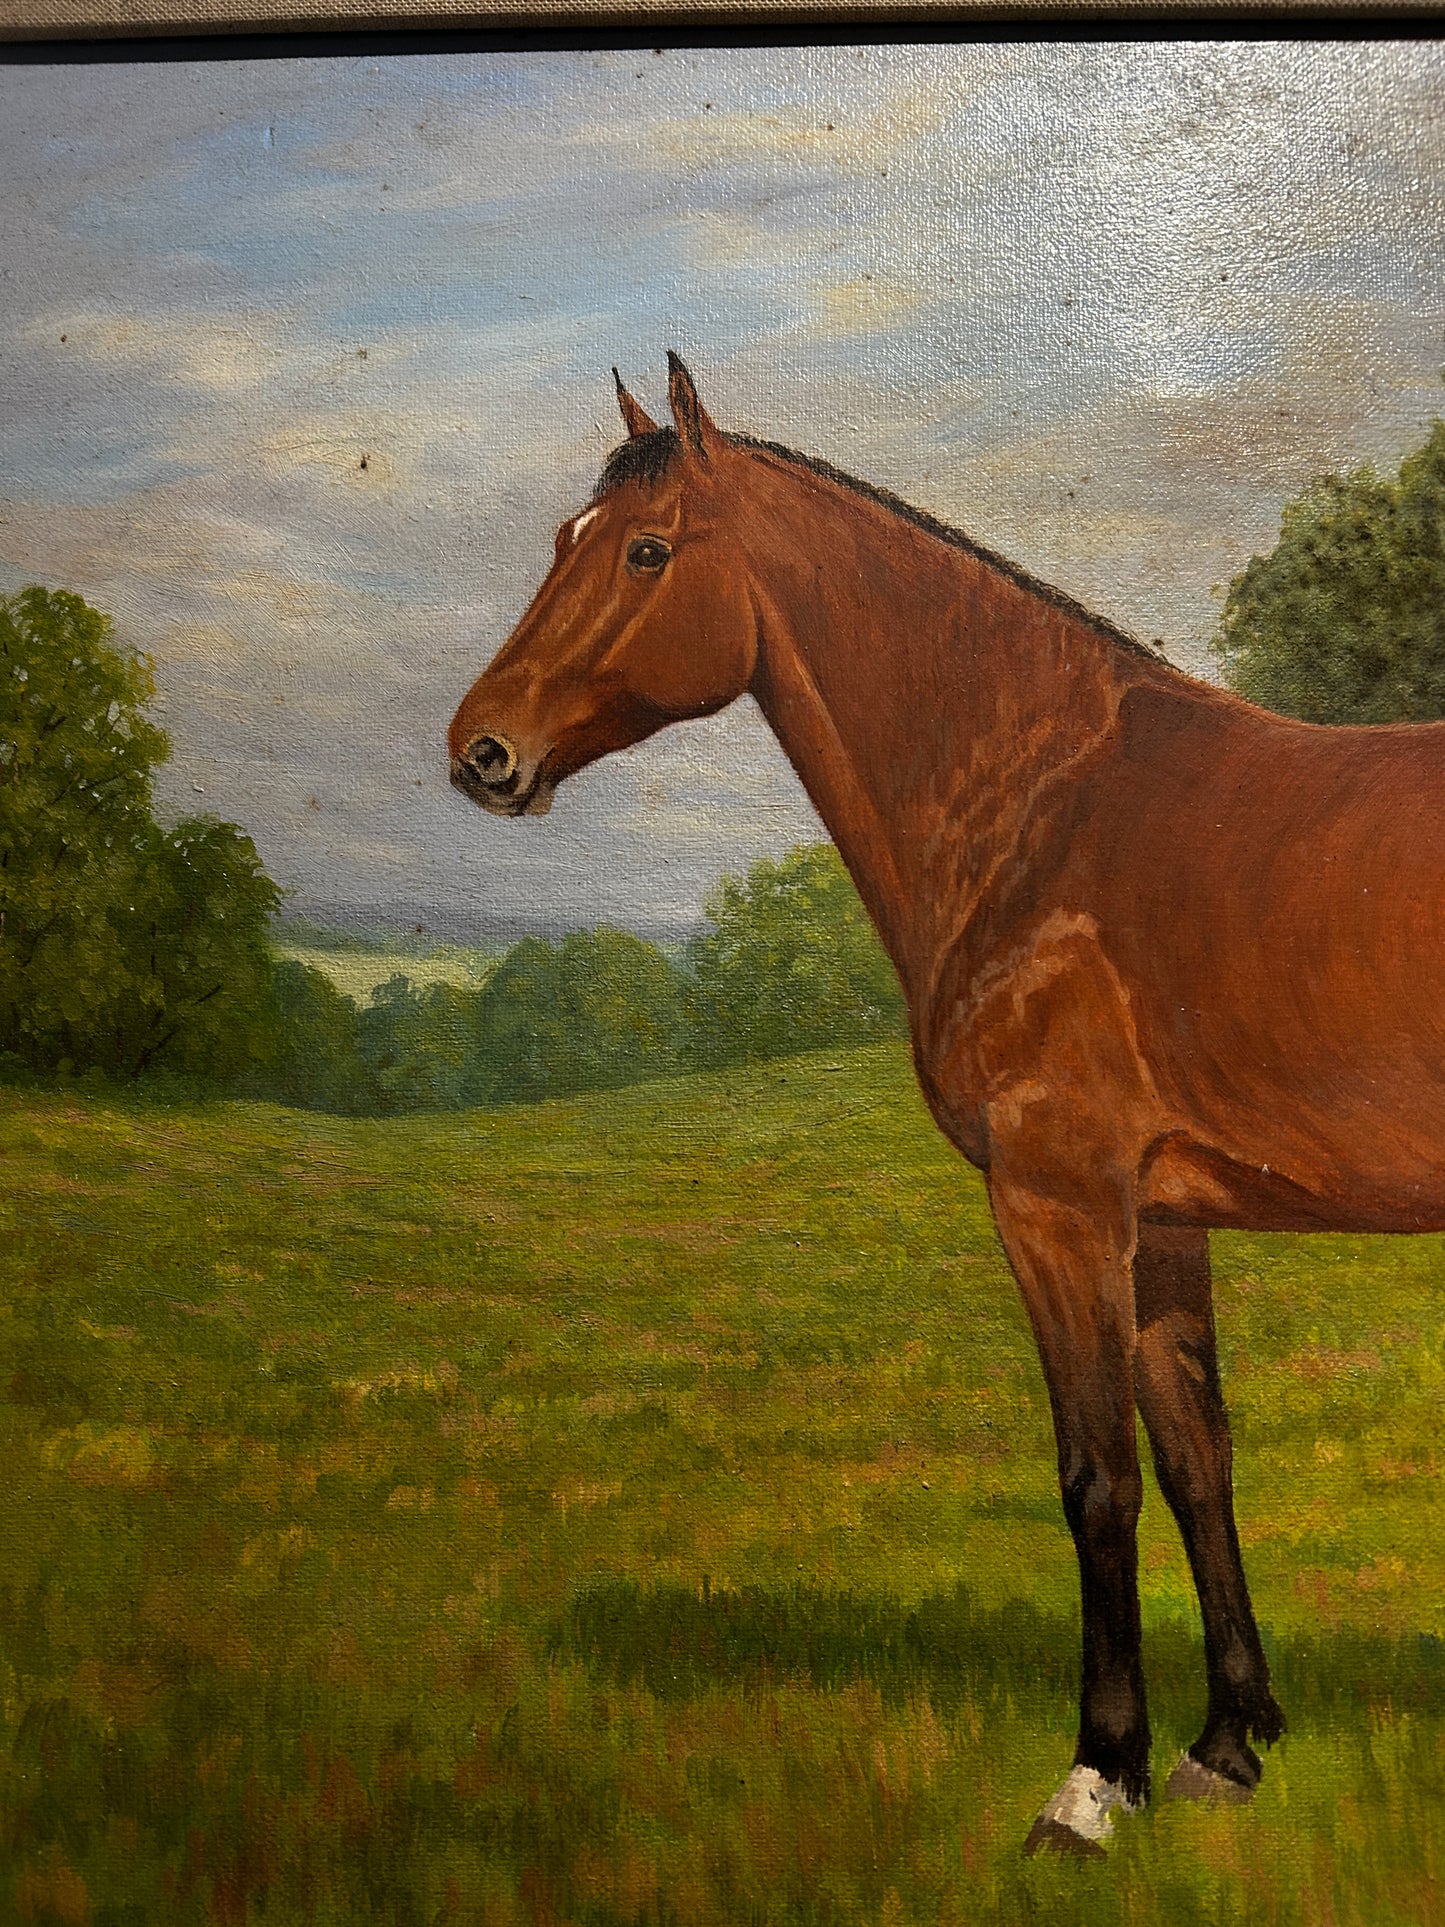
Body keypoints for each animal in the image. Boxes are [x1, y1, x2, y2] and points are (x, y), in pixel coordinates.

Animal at [448, 355, 1445, 1855]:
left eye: (644, 550)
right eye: (563, 537)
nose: (480, 752)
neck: (1044, 809)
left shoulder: (1055, 1203)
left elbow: (1096, 1481)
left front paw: (1093, 1783)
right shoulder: (1162, 1217)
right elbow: (1195, 1457)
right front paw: (1225, 1745)